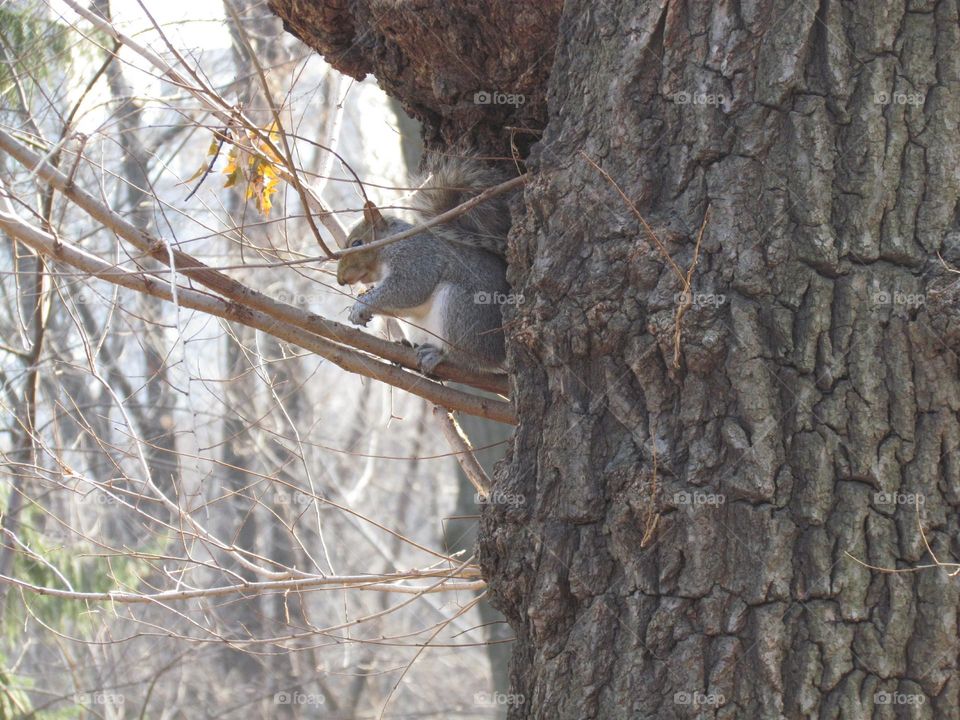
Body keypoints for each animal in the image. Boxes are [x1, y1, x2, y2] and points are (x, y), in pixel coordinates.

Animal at [337, 154, 514, 375]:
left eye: (357, 243)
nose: (341, 279)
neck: (390, 245)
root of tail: (501, 354)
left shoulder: (417, 258)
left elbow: (410, 288)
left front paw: (361, 305)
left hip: (462, 310)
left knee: (472, 360)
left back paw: (441, 355)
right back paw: (406, 347)